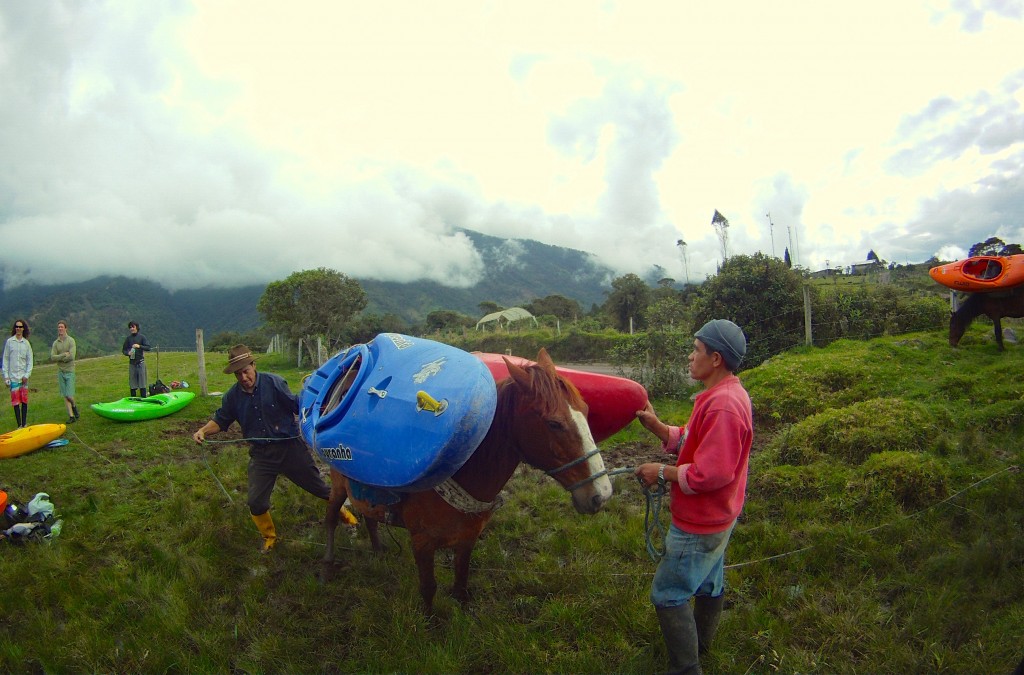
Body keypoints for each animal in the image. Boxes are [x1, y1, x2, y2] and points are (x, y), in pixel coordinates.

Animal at [319, 348, 610, 618]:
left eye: (586, 411)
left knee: (369, 514)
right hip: (337, 485)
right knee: (331, 518)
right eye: (554, 423)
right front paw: (430, 624)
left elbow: (461, 584)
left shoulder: (468, 537)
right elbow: (428, 588)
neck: (463, 471)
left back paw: (378, 550)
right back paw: (328, 565)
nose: (601, 494)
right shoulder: (421, 542)